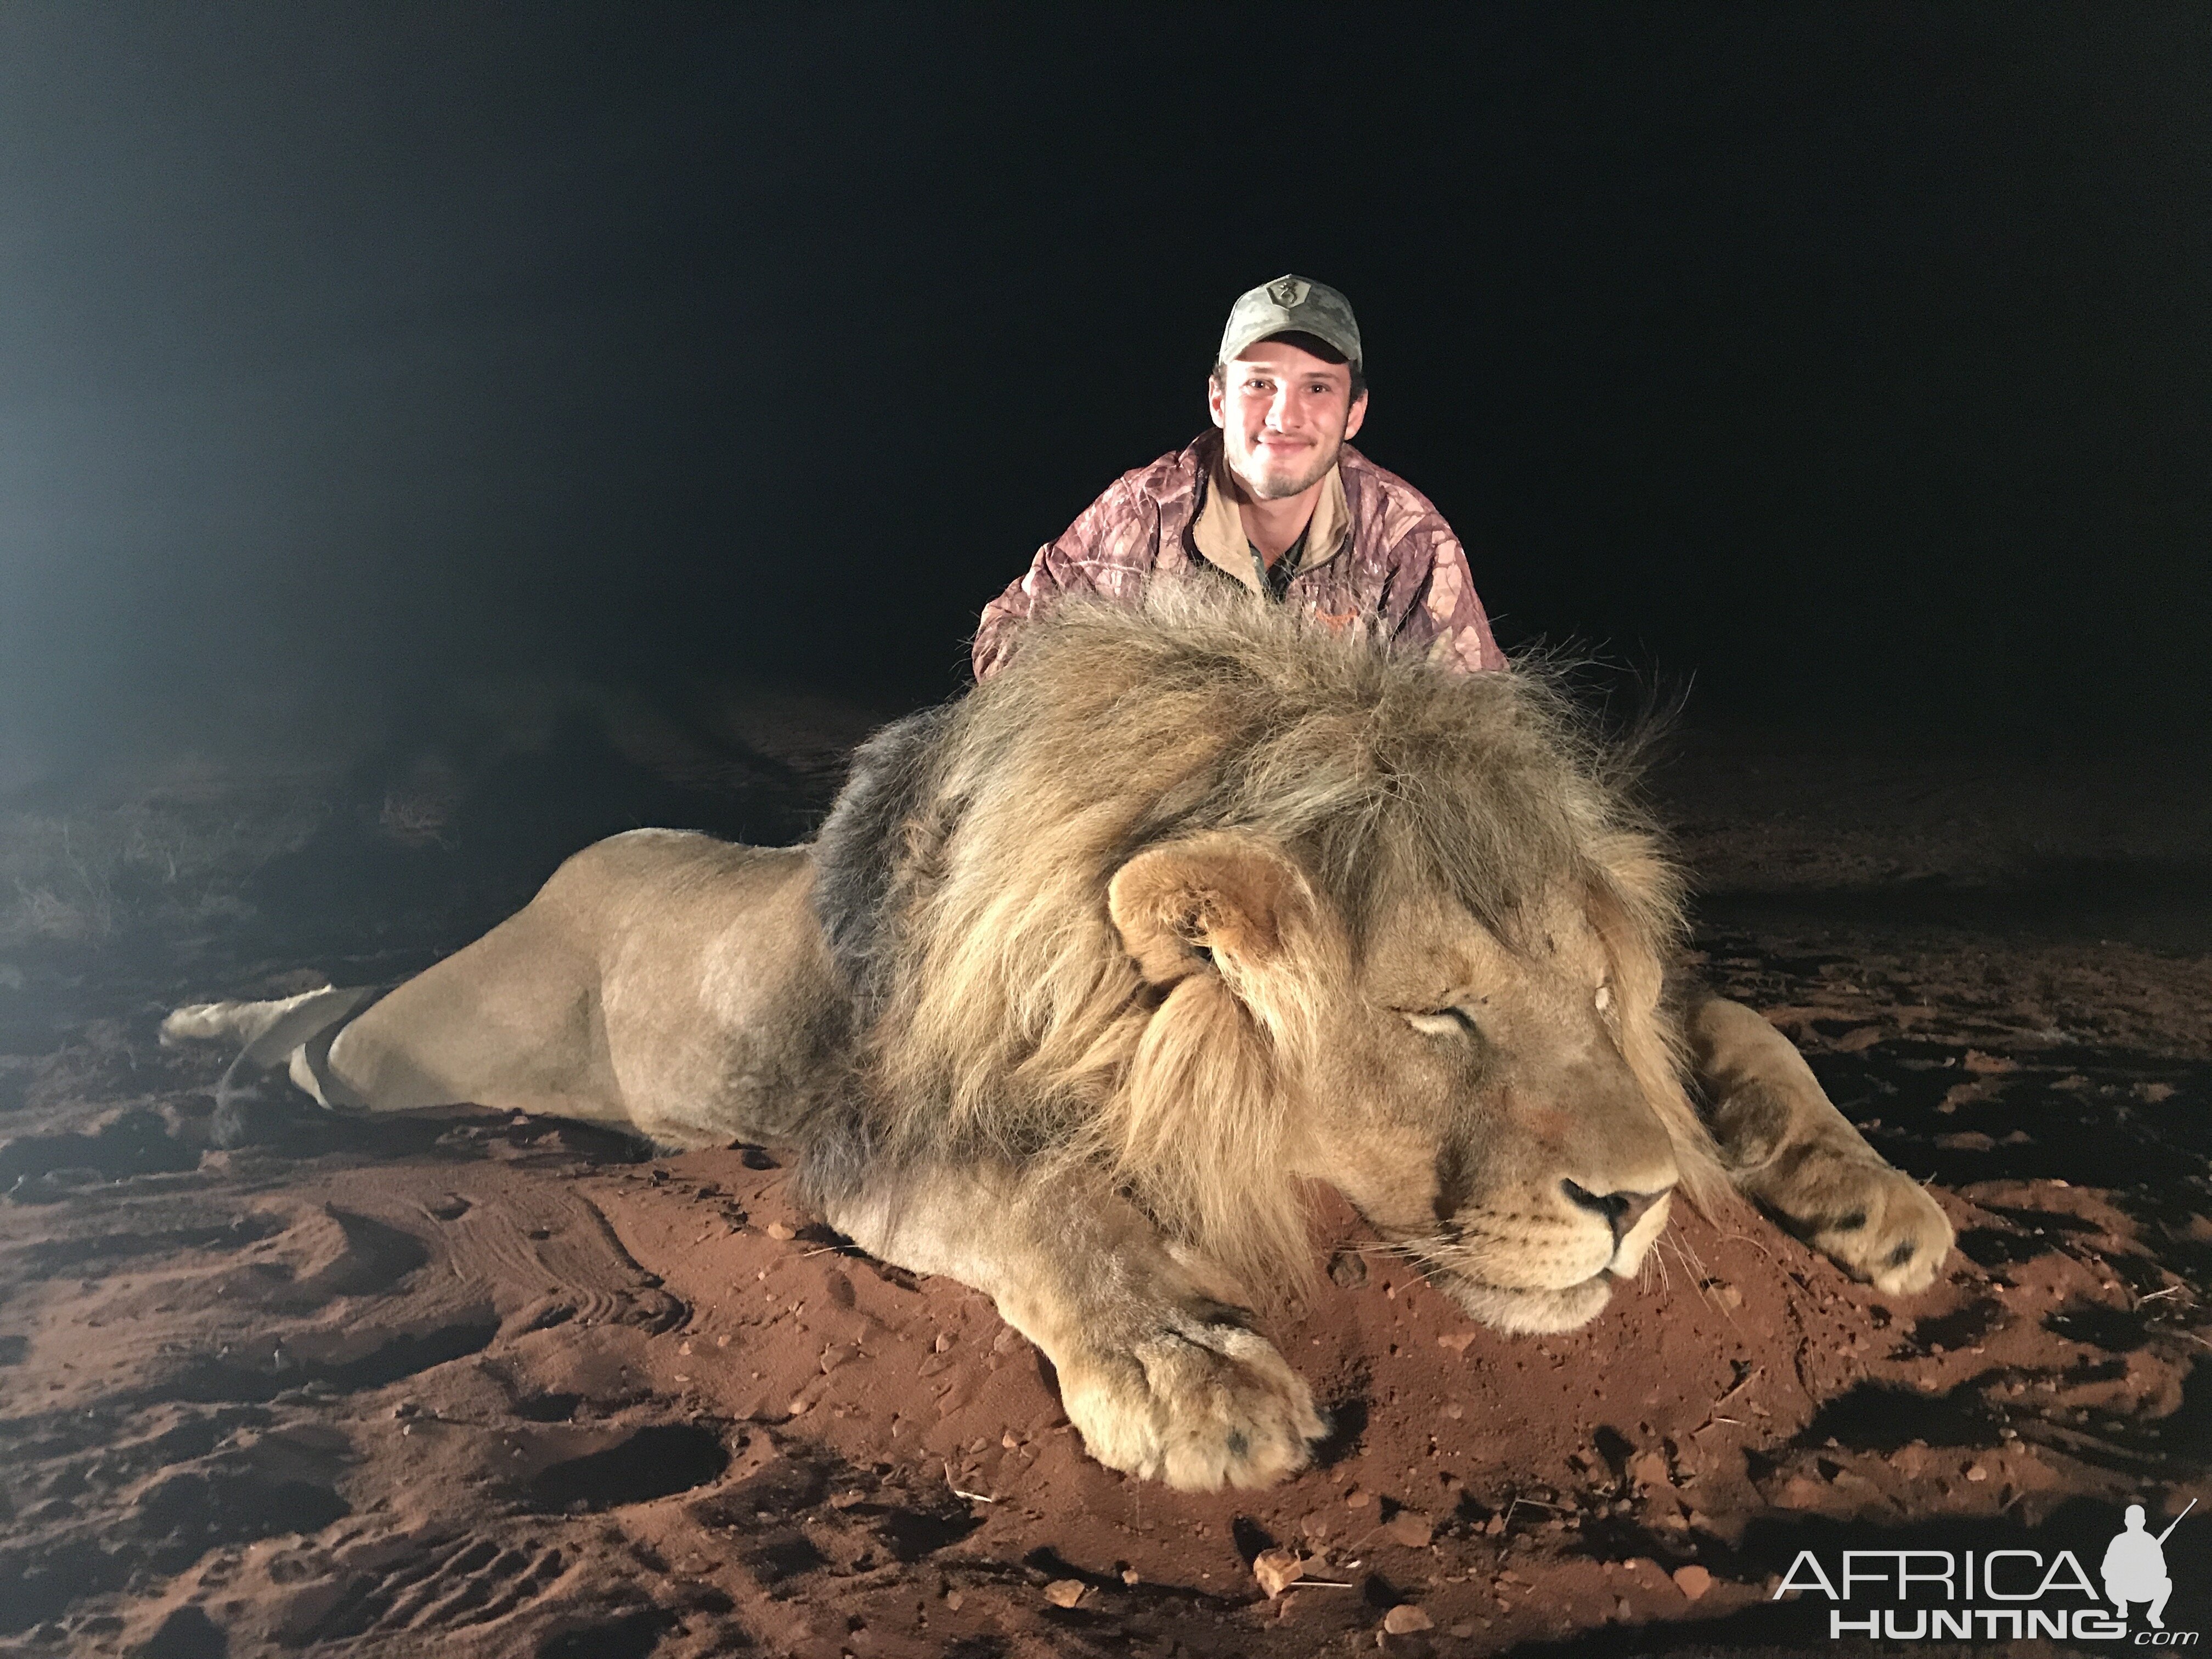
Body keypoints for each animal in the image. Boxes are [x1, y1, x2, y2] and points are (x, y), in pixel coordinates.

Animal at [168, 588, 1955, 1495]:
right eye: (1436, 1014)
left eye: (1588, 996)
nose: (1639, 1208)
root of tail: (586, 853)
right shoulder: (888, 1136)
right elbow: (1045, 1204)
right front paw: (1192, 1380)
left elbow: (1741, 1024)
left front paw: (1883, 1204)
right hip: (445, 1037)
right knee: (329, 1029)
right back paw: (209, 1048)